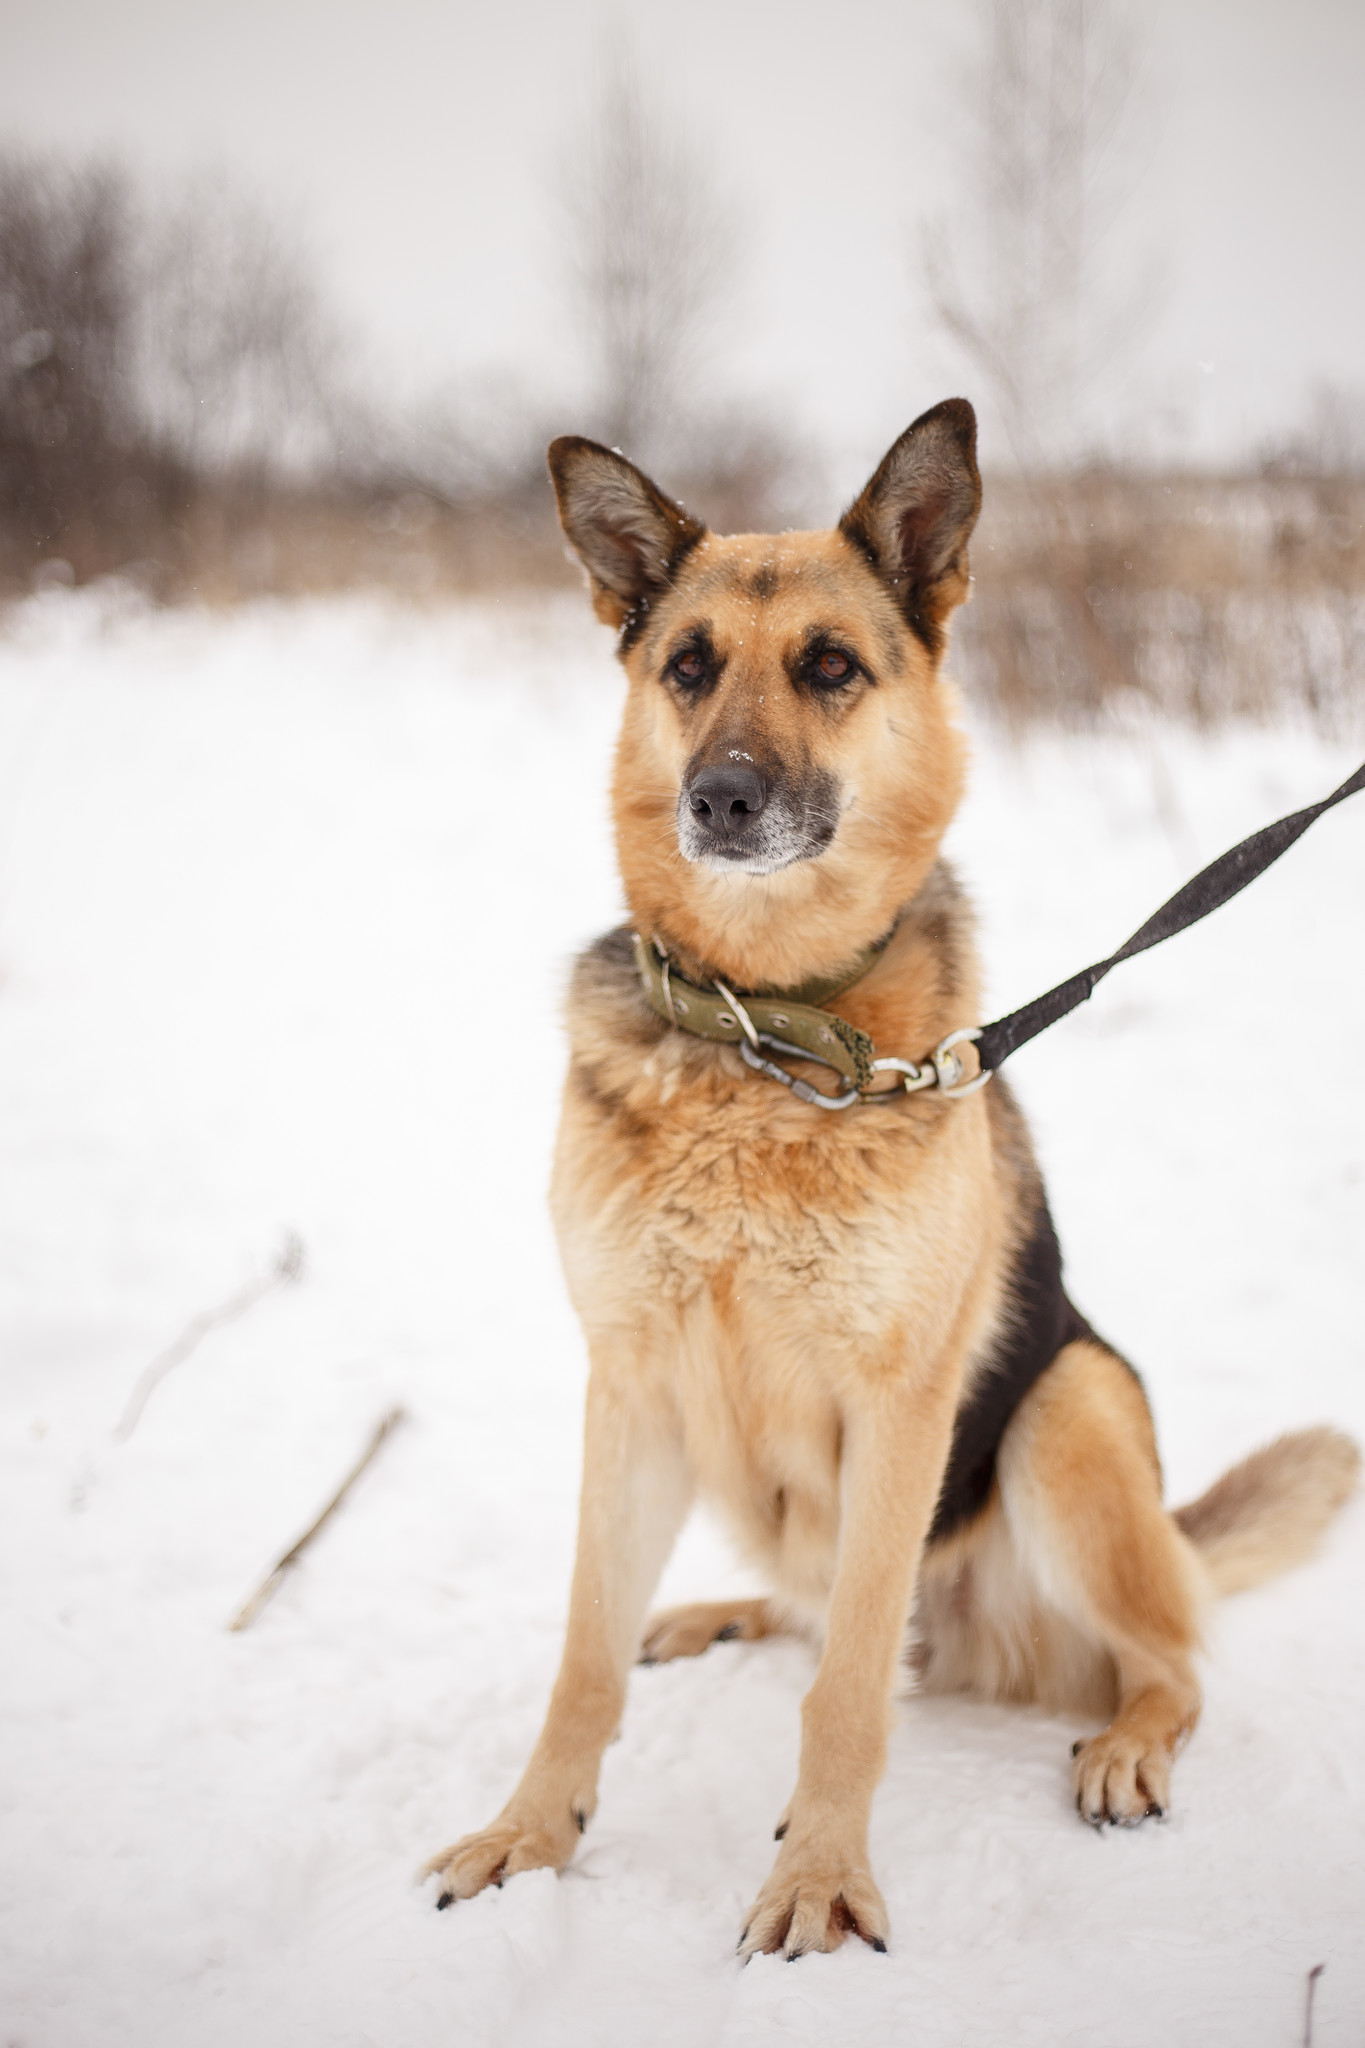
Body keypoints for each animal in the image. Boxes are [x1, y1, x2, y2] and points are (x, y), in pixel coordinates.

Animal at [421, 395, 1358, 1949]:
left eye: (830, 667)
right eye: (687, 667)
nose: (720, 798)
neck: (767, 1030)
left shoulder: (900, 1404)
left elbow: (851, 1687)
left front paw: (820, 1879)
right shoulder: (630, 1385)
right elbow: (583, 1662)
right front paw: (528, 1836)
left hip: (1068, 1412)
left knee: (1165, 1661)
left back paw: (1125, 1746)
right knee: (803, 1609)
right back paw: (712, 1614)